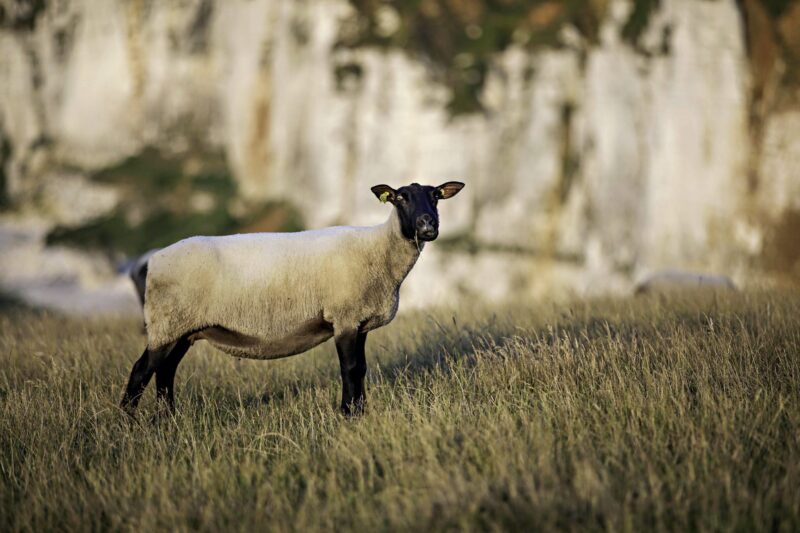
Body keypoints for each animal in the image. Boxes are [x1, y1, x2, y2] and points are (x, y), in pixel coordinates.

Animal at [121, 182, 466, 416]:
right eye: (400, 197)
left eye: (436, 196)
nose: (428, 225)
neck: (378, 250)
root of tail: (154, 261)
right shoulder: (343, 318)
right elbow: (350, 368)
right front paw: (348, 413)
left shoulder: (359, 321)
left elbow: (362, 368)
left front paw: (360, 410)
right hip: (166, 323)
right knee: (141, 371)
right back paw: (127, 422)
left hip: (183, 329)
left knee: (165, 373)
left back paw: (167, 419)